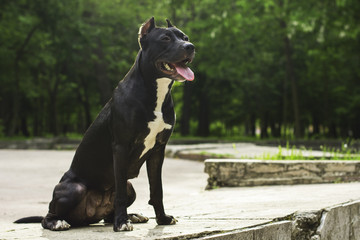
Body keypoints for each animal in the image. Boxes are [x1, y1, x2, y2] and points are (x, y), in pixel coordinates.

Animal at [14, 16, 194, 231]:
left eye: (185, 37)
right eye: (165, 38)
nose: (190, 46)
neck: (155, 91)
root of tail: (86, 217)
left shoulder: (158, 150)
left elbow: (157, 190)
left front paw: (162, 219)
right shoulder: (121, 147)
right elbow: (122, 195)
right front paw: (122, 223)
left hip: (129, 186)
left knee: (109, 213)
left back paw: (132, 216)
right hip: (75, 188)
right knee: (47, 216)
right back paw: (59, 222)